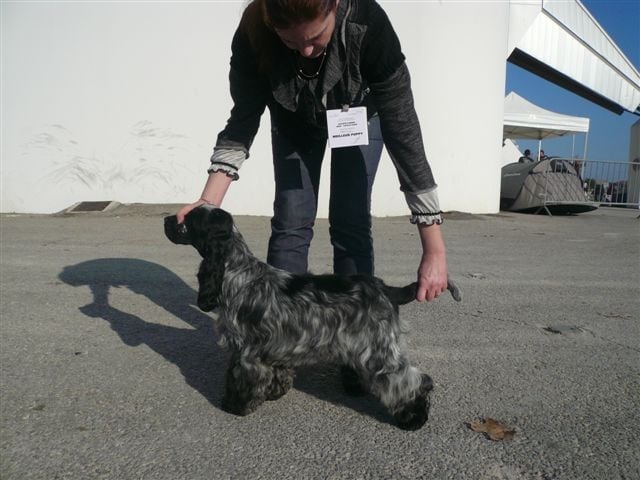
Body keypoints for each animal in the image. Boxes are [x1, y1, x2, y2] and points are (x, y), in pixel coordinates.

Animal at [164, 205, 461, 430]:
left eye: (187, 221)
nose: (166, 219)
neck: (238, 273)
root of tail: (386, 289)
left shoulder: (245, 351)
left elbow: (239, 380)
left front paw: (234, 406)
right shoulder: (273, 347)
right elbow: (277, 373)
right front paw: (274, 393)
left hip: (378, 351)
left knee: (412, 382)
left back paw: (413, 419)